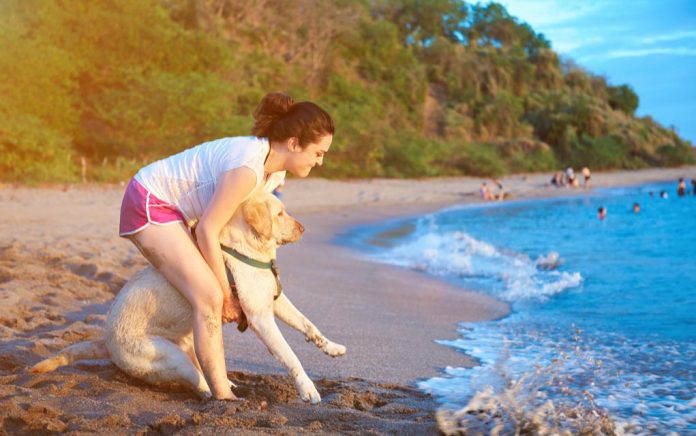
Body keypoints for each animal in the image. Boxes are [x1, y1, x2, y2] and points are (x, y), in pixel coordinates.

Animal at [31, 192, 346, 404]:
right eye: (280, 213)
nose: (303, 228)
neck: (250, 250)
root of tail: (105, 341)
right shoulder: (260, 318)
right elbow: (291, 356)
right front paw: (308, 389)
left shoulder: (276, 301)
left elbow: (308, 325)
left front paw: (331, 347)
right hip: (170, 356)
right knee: (199, 380)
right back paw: (222, 396)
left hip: (190, 342)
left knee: (205, 365)